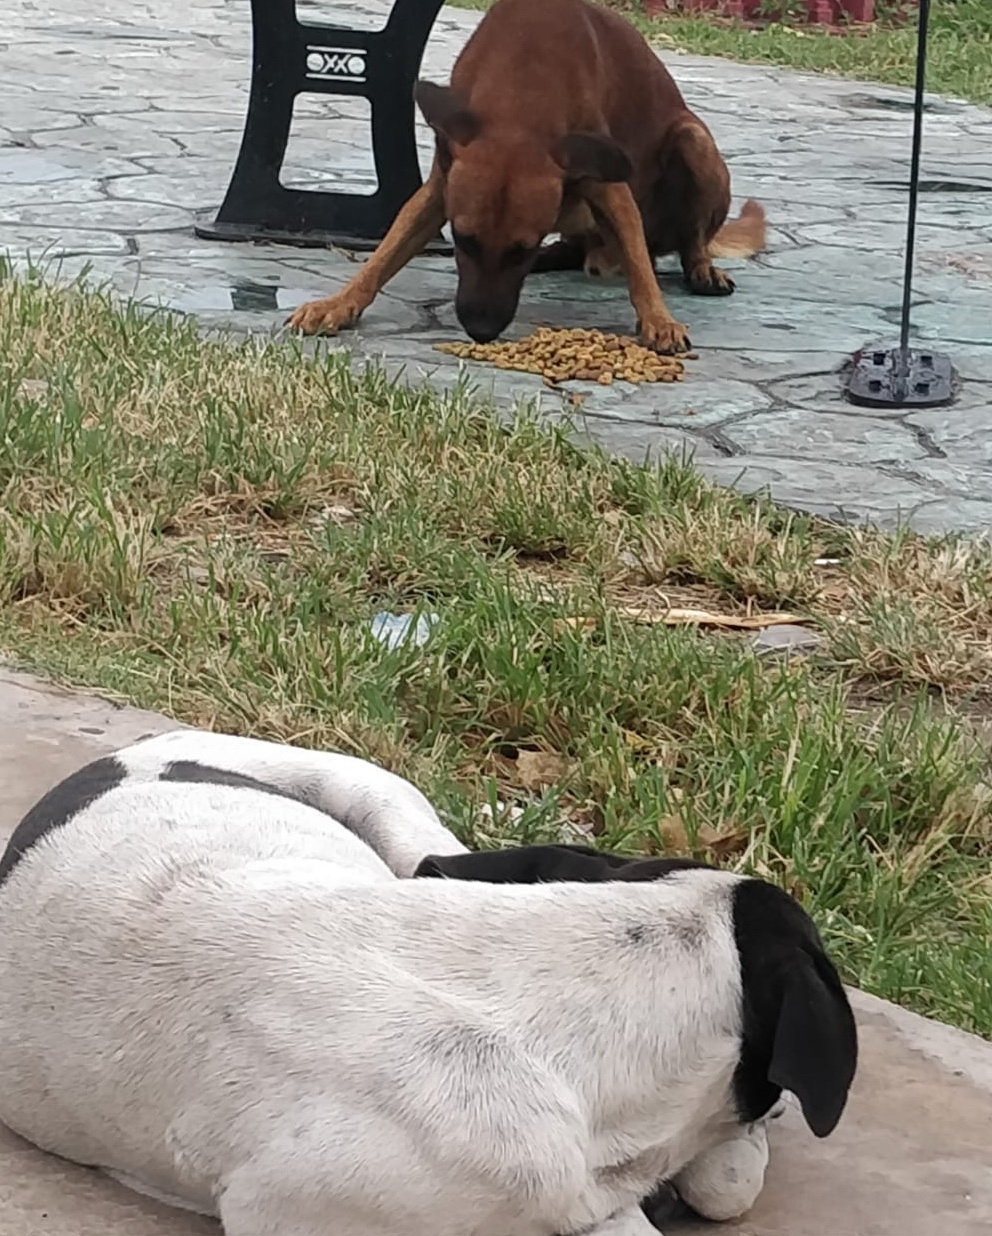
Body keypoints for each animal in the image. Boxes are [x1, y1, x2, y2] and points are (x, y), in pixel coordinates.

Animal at [282, 0, 765, 355]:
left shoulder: (608, 184)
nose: (480, 331)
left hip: (693, 142)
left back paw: (700, 268)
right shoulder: (438, 188)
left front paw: (658, 319)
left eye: (522, 250)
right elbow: (382, 258)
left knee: (684, 242)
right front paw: (339, 303)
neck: (521, 95)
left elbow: (642, 269)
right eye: (462, 241)